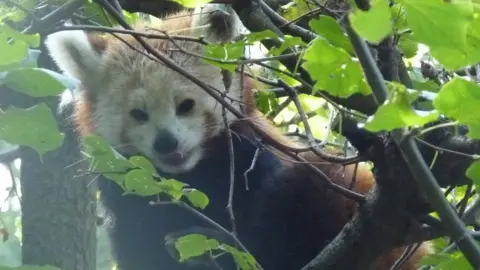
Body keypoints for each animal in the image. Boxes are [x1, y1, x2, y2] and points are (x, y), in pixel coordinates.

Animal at [44, 4, 432, 270]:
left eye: (185, 105)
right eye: (138, 114)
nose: (167, 144)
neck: (194, 175)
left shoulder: (255, 166)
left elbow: (267, 219)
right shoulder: (131, 202)